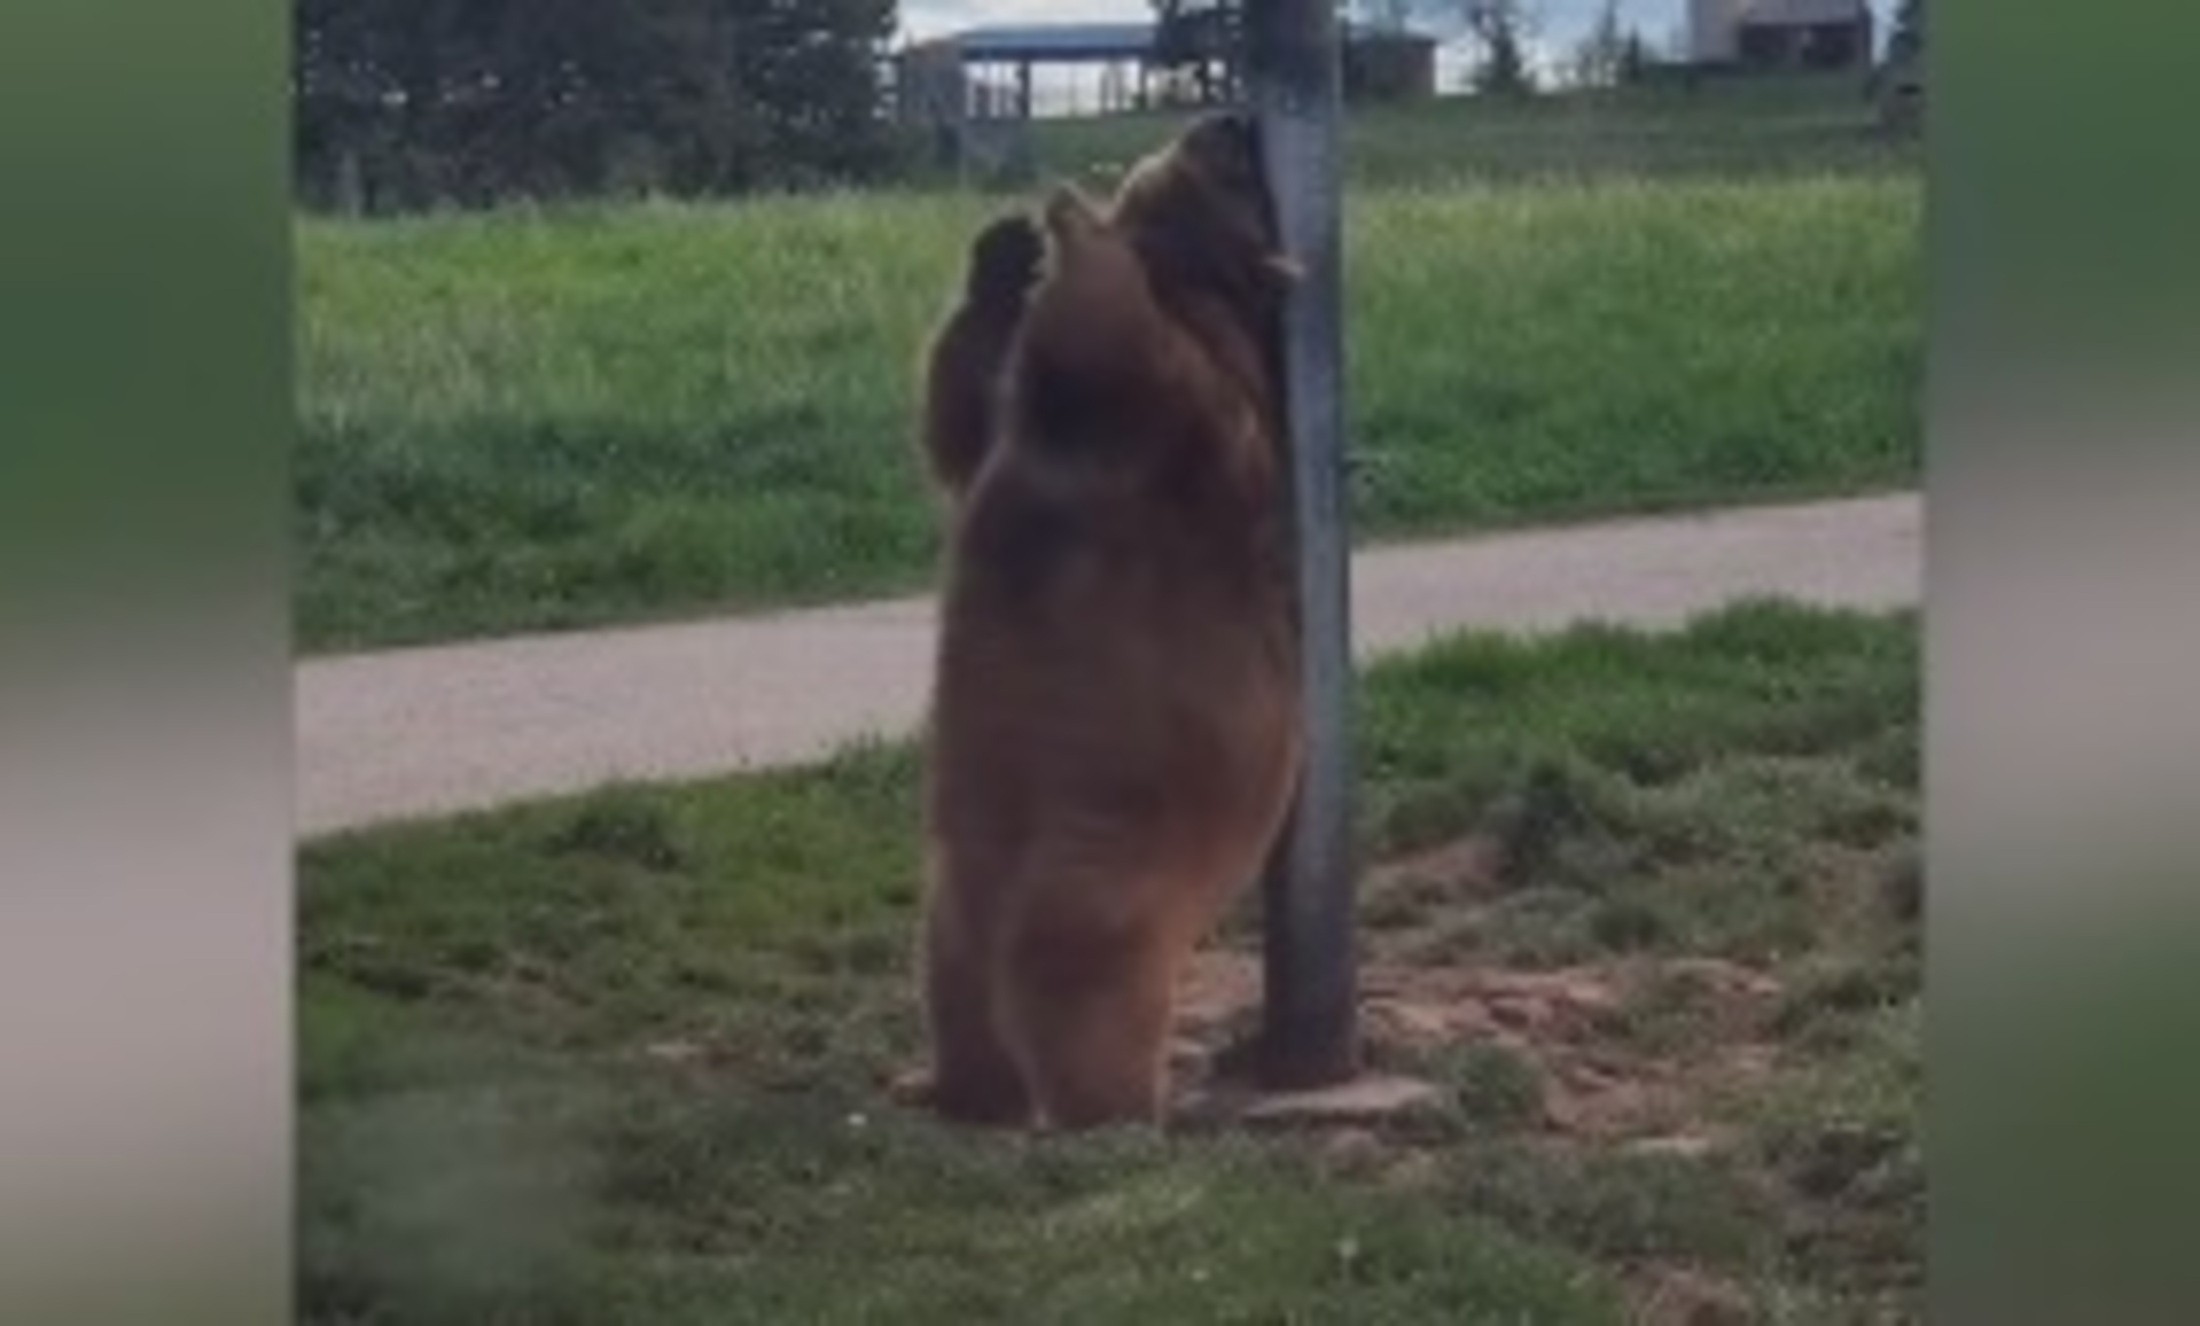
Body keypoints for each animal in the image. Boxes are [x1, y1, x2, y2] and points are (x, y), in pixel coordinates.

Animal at [915, 116, 1302, 1134]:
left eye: (1249, 176)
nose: (1231, 121)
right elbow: (964, 421)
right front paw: (1003, 249)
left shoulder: (1196, 408)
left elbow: (1118, 342)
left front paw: (1070, 216)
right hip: (948, 911)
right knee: (955, 995)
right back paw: (966, 1093)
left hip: (1100, 885)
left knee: (1078, 999)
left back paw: (1103, 1110)